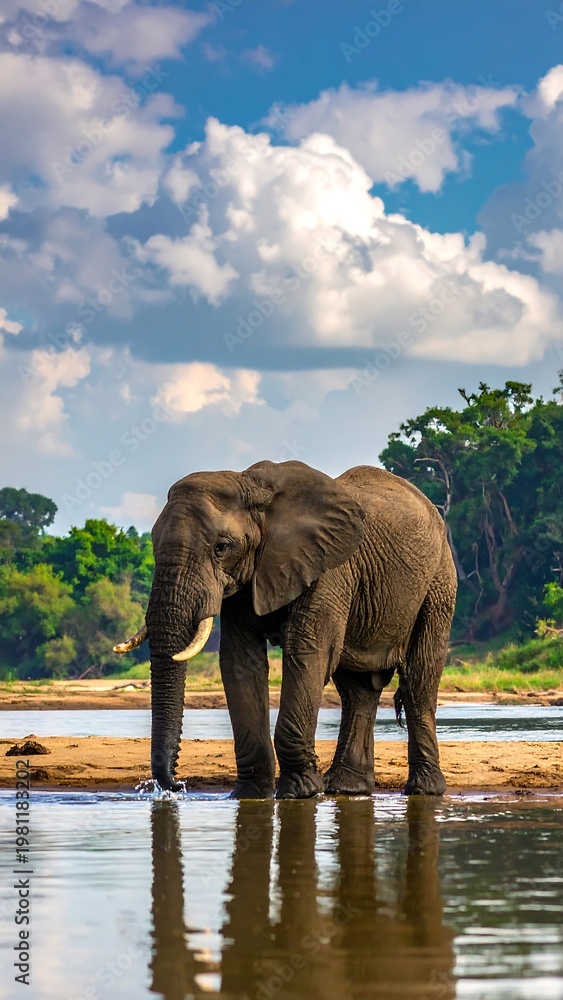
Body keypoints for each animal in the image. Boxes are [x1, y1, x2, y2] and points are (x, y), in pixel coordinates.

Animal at [114, 460, 457, 798]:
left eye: (222, 547)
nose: (175, 787)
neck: (254, 488)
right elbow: (240, 662)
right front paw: (250, 794)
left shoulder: (328, 569)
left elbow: (307, 652)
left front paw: (300, 792)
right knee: (357, 690)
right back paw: (346, 787)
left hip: (439, 583)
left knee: (418, 681)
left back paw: (423, 789)